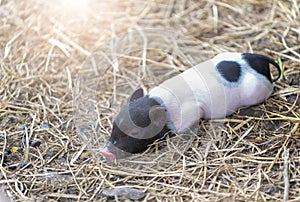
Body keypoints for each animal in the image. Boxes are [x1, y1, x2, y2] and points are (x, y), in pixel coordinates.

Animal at [99, 52, 280, 161]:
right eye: (114, 125)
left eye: (136, 132)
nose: (104, 151)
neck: (158, 102)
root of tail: (256, 57)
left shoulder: (192, 111)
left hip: (257, 90)